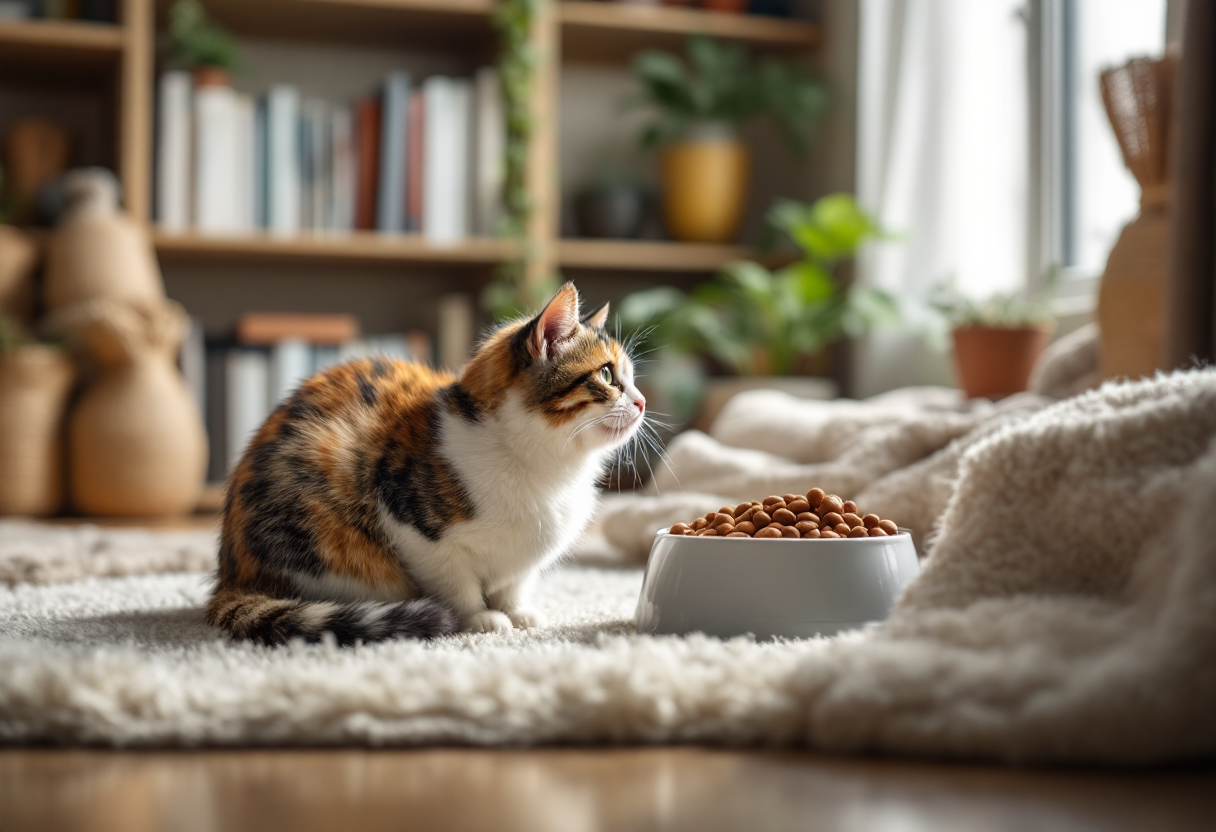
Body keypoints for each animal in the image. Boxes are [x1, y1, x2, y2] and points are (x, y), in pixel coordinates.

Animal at [209, 284, 646, 642]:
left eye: (632, 377)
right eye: (607, 375)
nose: (642, 401)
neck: (547, 465)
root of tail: (231, 574)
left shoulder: (524, 557)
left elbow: (516, 579)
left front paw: (517, 611)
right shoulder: (409, 524)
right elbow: (455, 581)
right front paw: (479, 618)